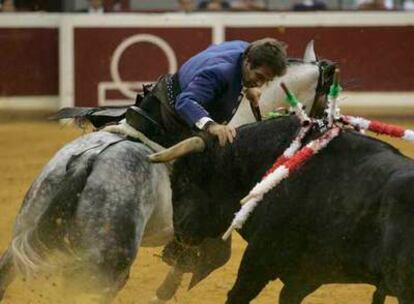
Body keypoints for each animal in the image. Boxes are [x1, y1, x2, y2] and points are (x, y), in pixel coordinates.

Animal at [0, 41, 334, 304]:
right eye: (324, 102)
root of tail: (88, 161)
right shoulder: (214, 229)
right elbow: (206, 259)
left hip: (26, 228)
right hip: (107, 266)